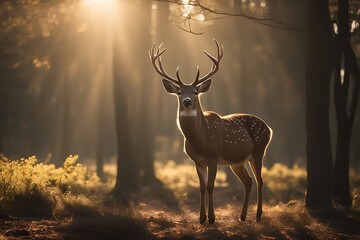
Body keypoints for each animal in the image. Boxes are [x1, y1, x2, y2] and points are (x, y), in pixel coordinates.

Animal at [150, 39, 272, 223]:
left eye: (195, 92)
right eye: (179, 92)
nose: (187, 101)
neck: (201, 141)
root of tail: (270, 129)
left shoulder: (213, 156)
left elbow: (210, 186)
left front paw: (212, 218)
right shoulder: (197, 161)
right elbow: (201, 187)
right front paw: (201, 218)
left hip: (259, 150)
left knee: (260, 180)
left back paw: (258, 216)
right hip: (237, 161)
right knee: (248, 181)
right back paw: (242, 216)